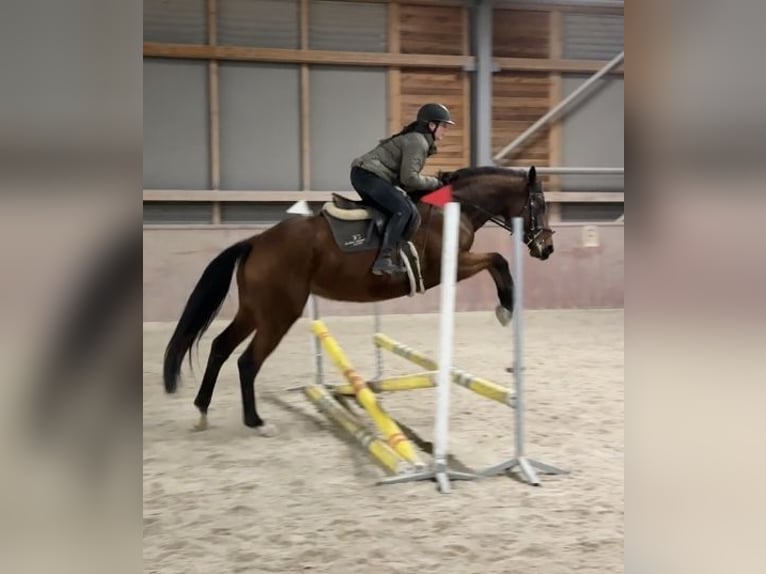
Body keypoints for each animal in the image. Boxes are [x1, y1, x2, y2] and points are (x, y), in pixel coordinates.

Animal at [163, 165, 554, 434]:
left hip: (253, 311)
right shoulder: (452, 265)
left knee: (219, 347)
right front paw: (506, 306)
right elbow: (498, 260)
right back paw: (256, 421)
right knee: (247, 361)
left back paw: (202, 411)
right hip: (278, 314)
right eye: (538, 203)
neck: (454, 207)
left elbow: (497, 261)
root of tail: (257, 241)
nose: (547, 248)